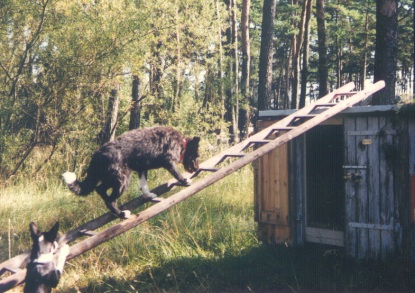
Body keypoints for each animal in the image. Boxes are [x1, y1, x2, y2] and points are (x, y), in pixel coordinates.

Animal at [61, 124, 202, 218]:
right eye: (197, 155)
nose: (197, 168)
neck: (181, 143)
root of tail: (97, 155)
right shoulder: (169, 162)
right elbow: (177, 173)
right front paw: (185, 181)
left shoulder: (142, 169)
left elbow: (143, 185)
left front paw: (148, 195)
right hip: (122, 179)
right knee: (109, 199)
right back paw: (122, 214)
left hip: (113, 178)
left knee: (100, 190)